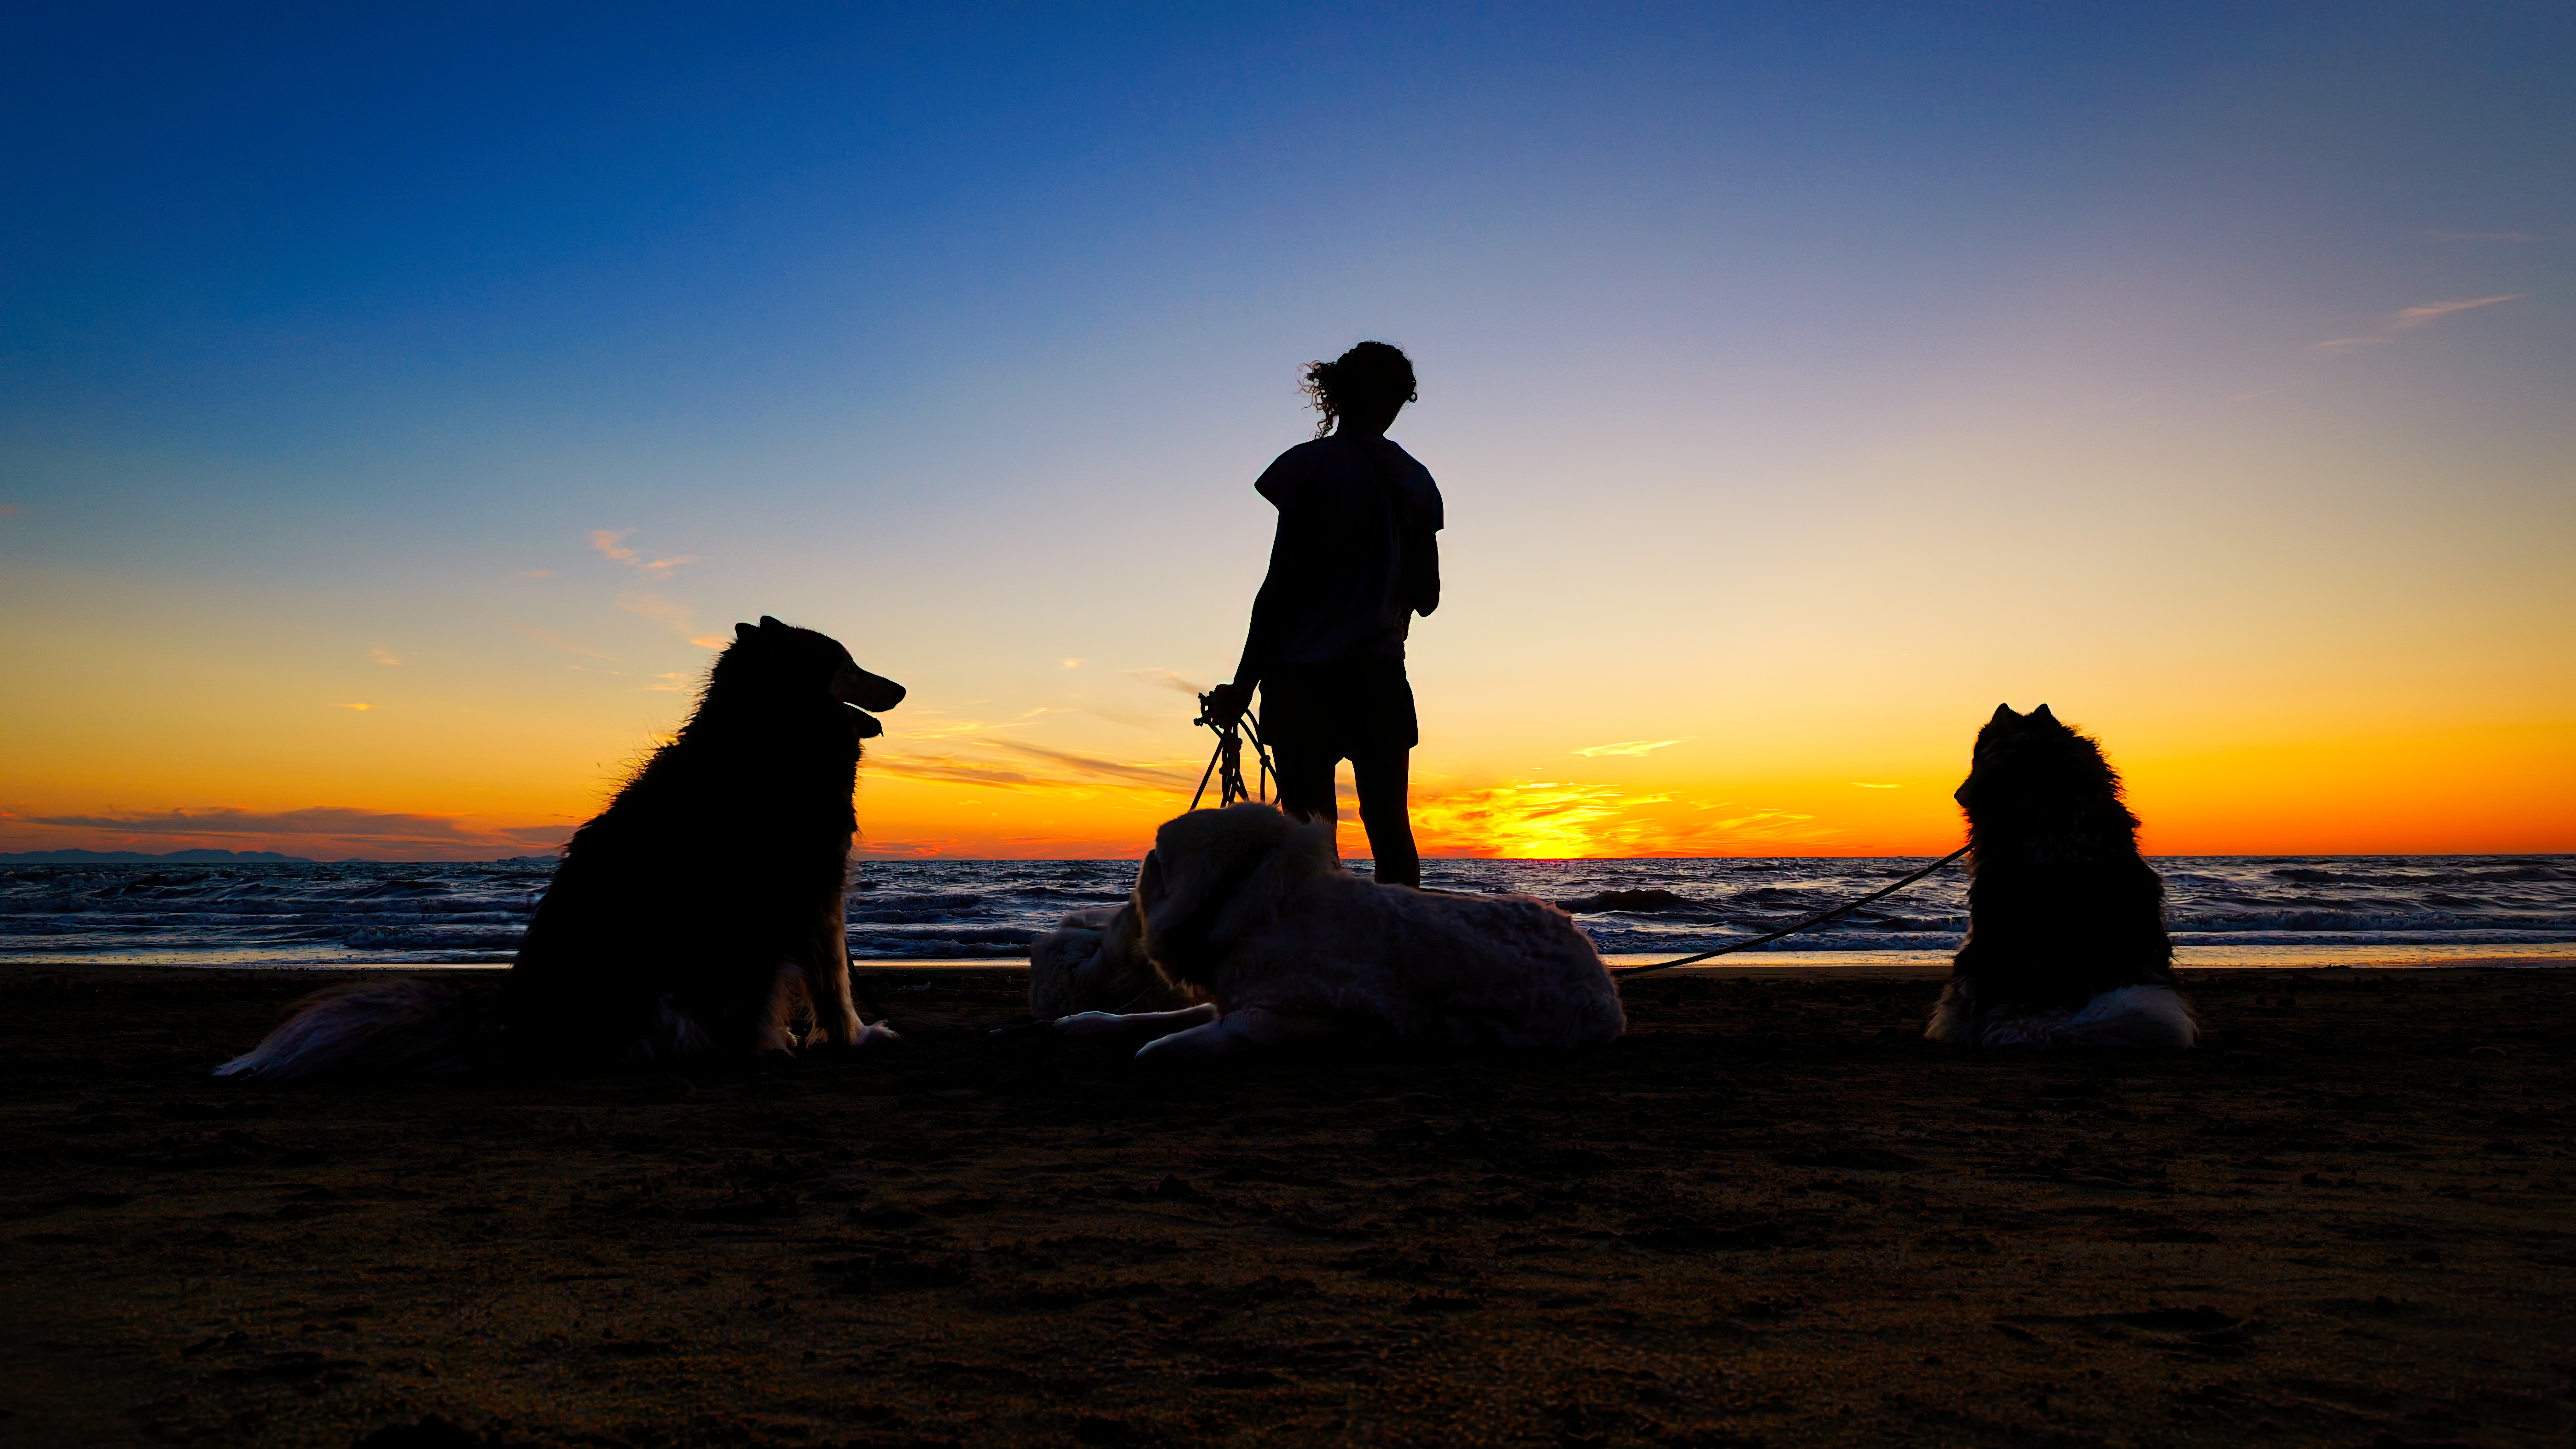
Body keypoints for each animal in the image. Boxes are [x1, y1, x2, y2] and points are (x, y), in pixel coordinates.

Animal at [219, 618, 907, 1081]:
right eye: (849, 663)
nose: (901, 688)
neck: (767, 730)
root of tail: (517, 1019)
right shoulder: (818, 889)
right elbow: (835, 983)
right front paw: (857, 1037)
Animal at [1035, 803, 1617, 1065]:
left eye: (1152, 868)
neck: (1244, 898)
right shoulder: (1234, 994)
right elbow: (1158, 1015)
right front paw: (1086, 1022)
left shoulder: (1303, 1016)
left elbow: (1184, 1039)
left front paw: (1154, 1048)